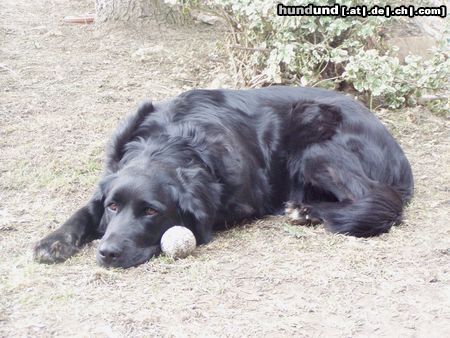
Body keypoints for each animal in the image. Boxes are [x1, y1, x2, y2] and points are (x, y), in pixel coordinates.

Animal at [34, 88, 414, 268]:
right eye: (113, 207)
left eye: (152, 212)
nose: (107, 252)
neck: (173, 142)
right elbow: (85, 209)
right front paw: (53, 241)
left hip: (315, 144)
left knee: (377, 198)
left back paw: (305, 211)